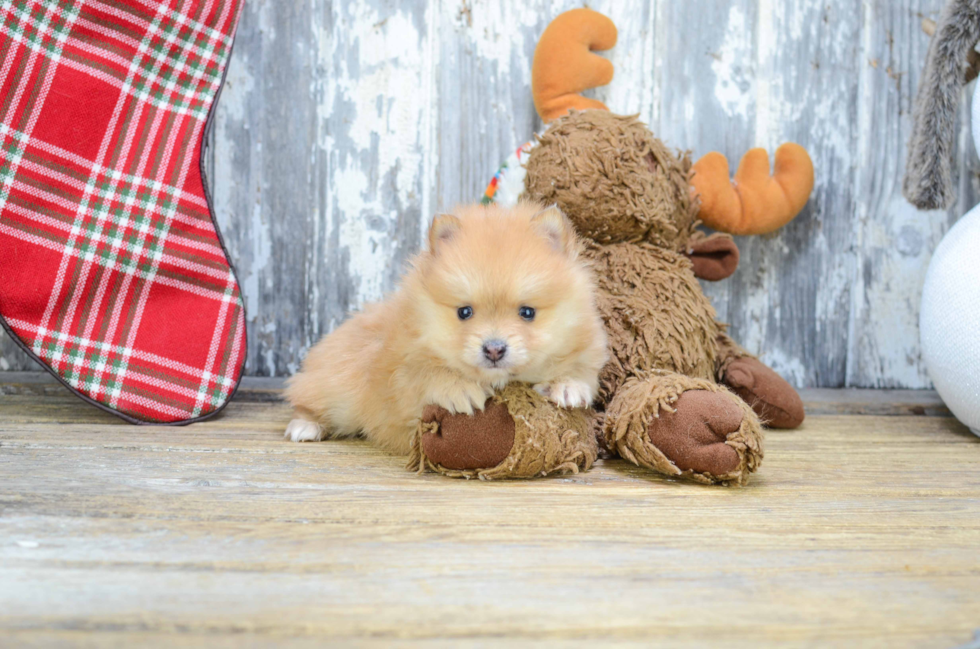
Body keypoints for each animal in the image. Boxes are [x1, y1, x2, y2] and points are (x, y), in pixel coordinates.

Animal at [282, 200, 604, 454]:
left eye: (527, 312)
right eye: (464, 312)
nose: (494, 349)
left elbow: (582, 369)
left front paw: (567, 385)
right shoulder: (403, 372)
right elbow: (425, 374)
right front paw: (457, 388)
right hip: (337, 390)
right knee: (306, 398)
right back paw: (305, 426)